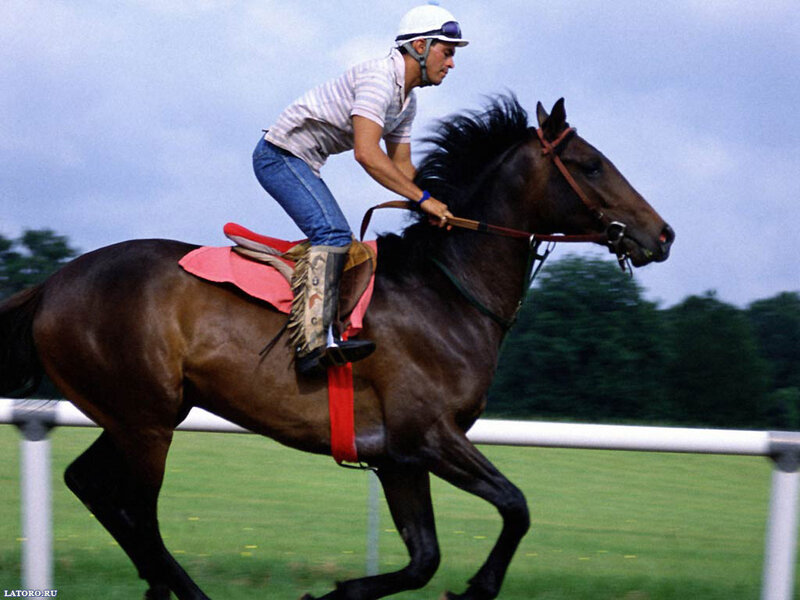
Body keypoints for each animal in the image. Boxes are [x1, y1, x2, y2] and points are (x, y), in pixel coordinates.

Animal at [0, 96, 674, 600]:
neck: (445, 292)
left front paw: (338, 592)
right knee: (138, 514)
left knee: (91, 487)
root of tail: (52, 284)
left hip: (138, 414)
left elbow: (424, 558)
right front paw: (478, 588)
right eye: (590, 164)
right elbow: (516, 506)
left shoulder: (400, 456)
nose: (662, 234)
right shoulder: (430, 435)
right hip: (146, 420)